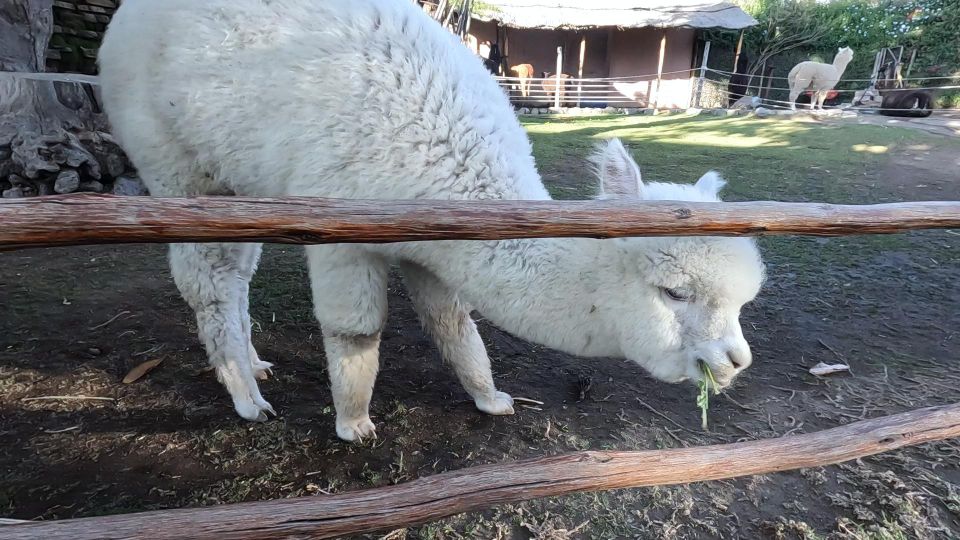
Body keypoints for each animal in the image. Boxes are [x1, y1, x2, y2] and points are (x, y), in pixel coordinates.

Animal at [98, 0, 766, 442]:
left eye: (743, 302)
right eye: (674, 292)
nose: (736, 362)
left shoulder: (435, 243)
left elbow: (455, 326)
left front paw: (491, 399)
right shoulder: (344, 232)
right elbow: (356, 332)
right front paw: (354, 422)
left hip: (236, 186)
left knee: (234, 277)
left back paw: (252, 364)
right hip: (177, 166)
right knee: (209, 281)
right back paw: (245, 395)